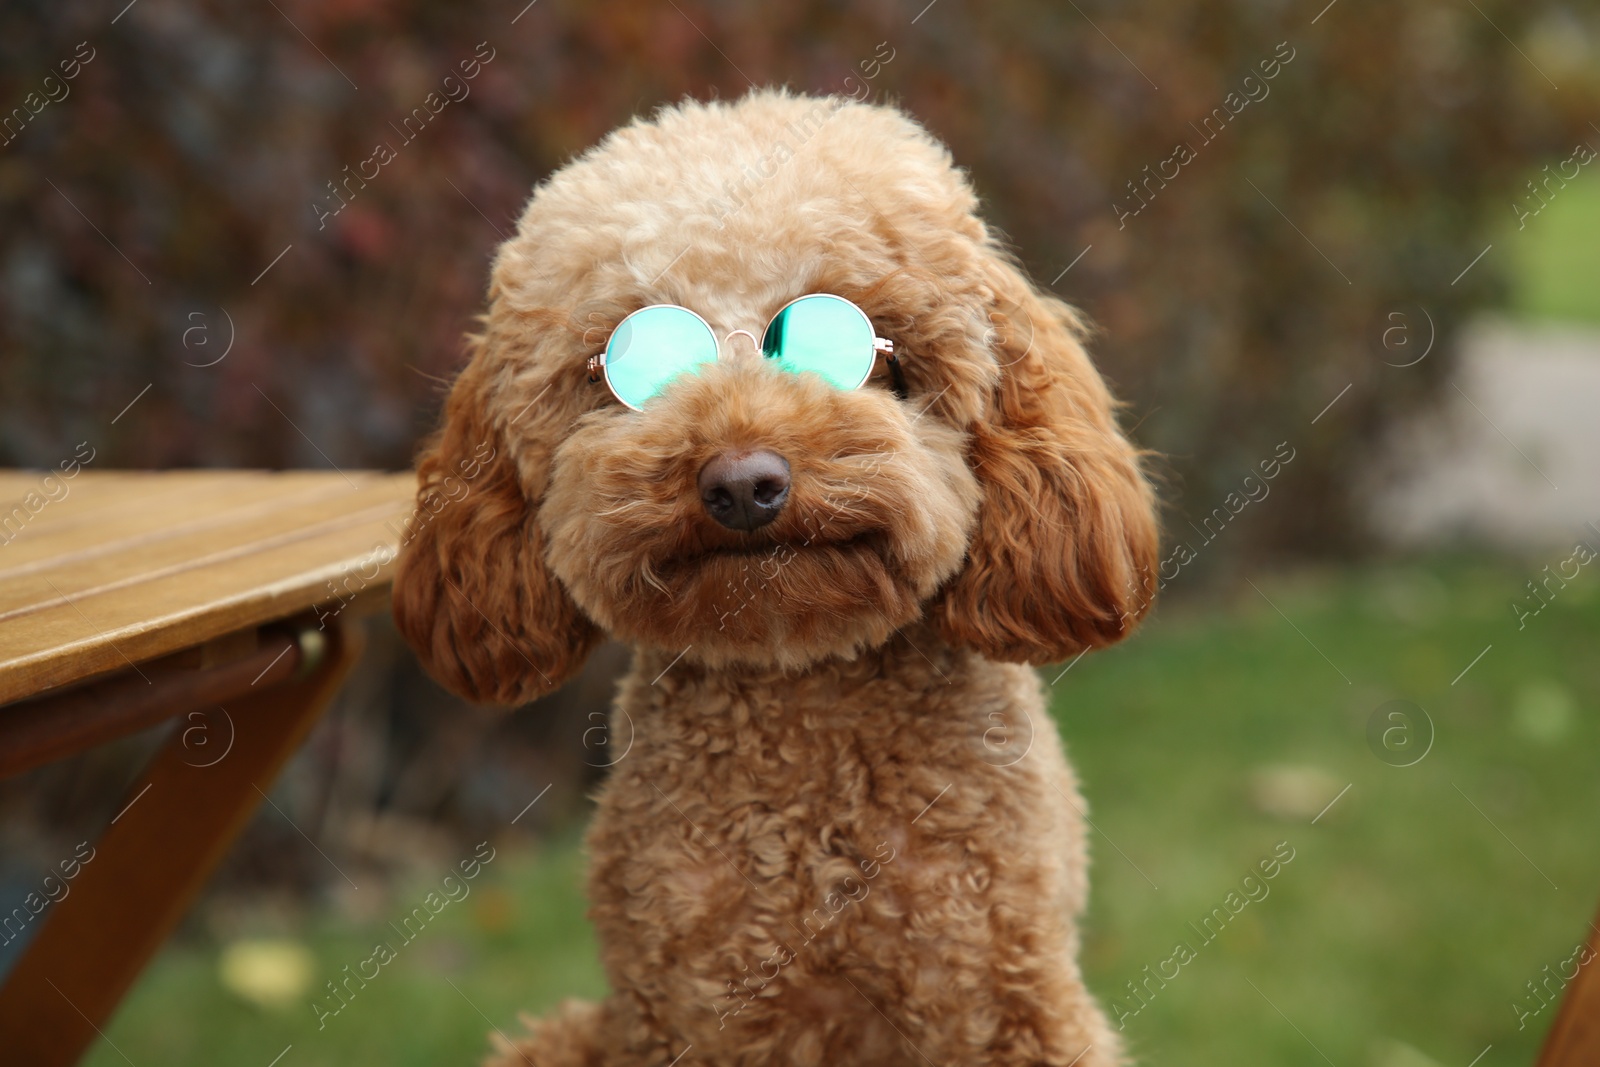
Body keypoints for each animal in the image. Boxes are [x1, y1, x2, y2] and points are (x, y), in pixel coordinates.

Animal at [393, 89, 1158, 1067]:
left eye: (844, 341)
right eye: (630, 363)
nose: (742, 482)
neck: (805, 709)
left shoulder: (1004, 995)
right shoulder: (689, 1011)